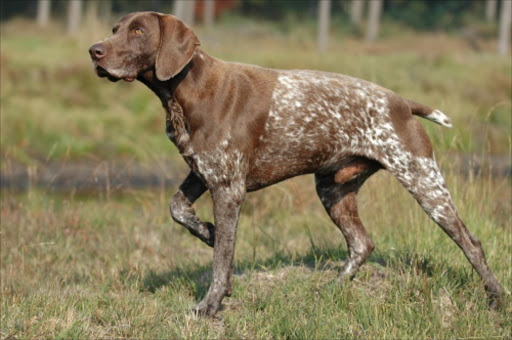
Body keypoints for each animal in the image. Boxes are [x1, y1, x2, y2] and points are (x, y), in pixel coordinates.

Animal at [89, 12, 504, 316]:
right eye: (114, 30)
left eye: (138, 31)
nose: (94, 51)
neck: (187, 90)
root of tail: (401, 102)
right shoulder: (202, 171)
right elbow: (178, 209)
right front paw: (207, 232)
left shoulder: (228, 188)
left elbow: (222, 260)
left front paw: (210, 303)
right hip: (333, 189)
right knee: (362, 244)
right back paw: (332, 289)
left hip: (424, 182)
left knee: (471, 243)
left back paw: (496, 297)